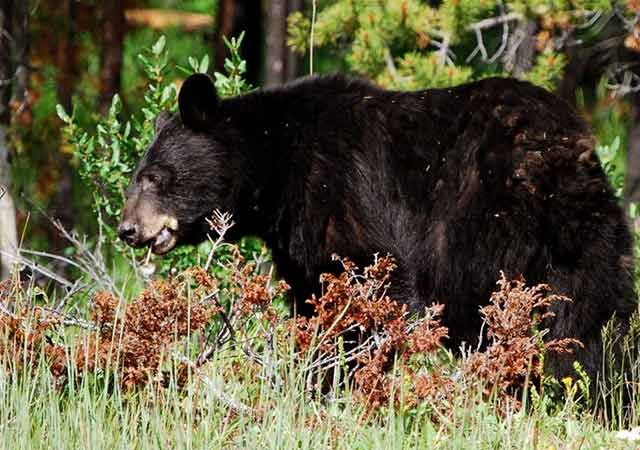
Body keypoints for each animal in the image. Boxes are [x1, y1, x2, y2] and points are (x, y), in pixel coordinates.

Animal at [119, 73, 636, 380]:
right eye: (136, 176)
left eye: (155, 176)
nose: (127, 230)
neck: (275, 165)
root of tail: (576, 142)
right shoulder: (298, 235)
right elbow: (313, 293)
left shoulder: (340, 193)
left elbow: (368, 284)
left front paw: (345, 373)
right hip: (586, 232)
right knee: (595, 307)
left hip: (492, 222)